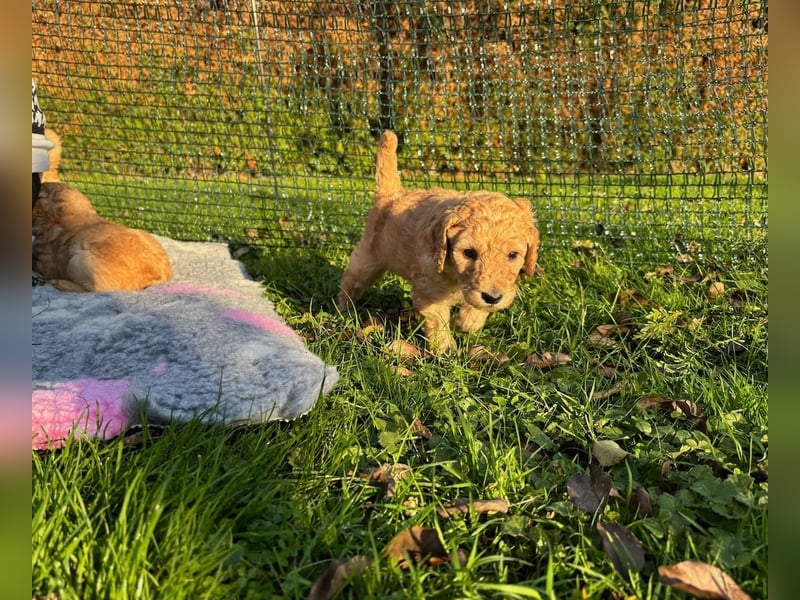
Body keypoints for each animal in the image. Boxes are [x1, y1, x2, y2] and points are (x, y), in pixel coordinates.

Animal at [334, 131, 540, 354]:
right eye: (469, 253)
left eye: (513, 255)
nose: (492, 297)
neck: (455, 275)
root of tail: (392, 194)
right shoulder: (429, 291)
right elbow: (438, 323)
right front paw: (445, 351)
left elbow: (476, 311)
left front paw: (465, 323)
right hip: (367, 259)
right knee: (351, 281)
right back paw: (343, 309)